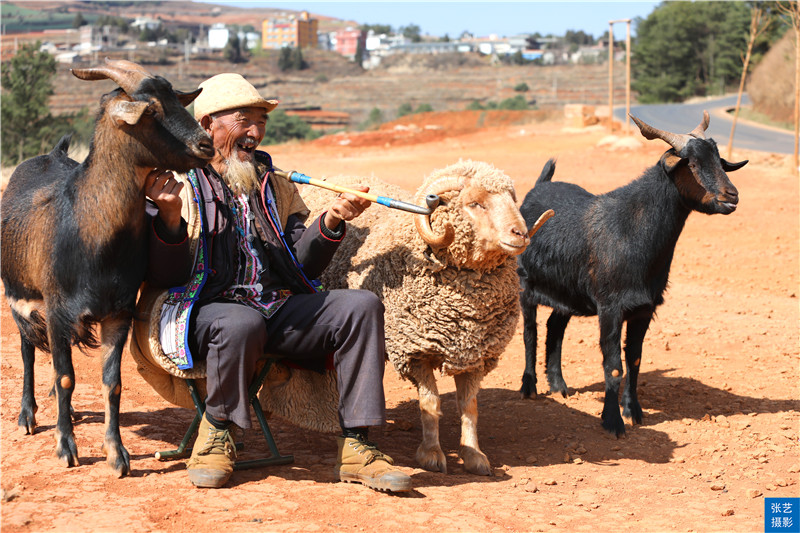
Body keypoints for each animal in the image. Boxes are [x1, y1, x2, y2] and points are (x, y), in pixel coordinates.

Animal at [0, 58, 214, 474]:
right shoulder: (56, 310)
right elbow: (66, 377)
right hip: (19, 296)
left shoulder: (118, 312)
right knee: (28, 350)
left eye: (175, 99)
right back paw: (28, 415)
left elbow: (111, 381)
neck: (94, 237)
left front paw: (117, 454)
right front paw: (66, 447)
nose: (206, 145)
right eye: (150, 111)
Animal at [516, 112, 748, 436]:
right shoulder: (610, 307)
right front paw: (612, 421)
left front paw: (633, 412)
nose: (731, 196)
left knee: (554, 327)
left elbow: (635, 360)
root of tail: (539, 185)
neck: (631, 230)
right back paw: (530, 387)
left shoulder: (643, 308)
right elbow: (614, 365)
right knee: (530, 332)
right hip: (525, 284)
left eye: (718, 159)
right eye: (690, 163)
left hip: (567, 291)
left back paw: (559, 385)